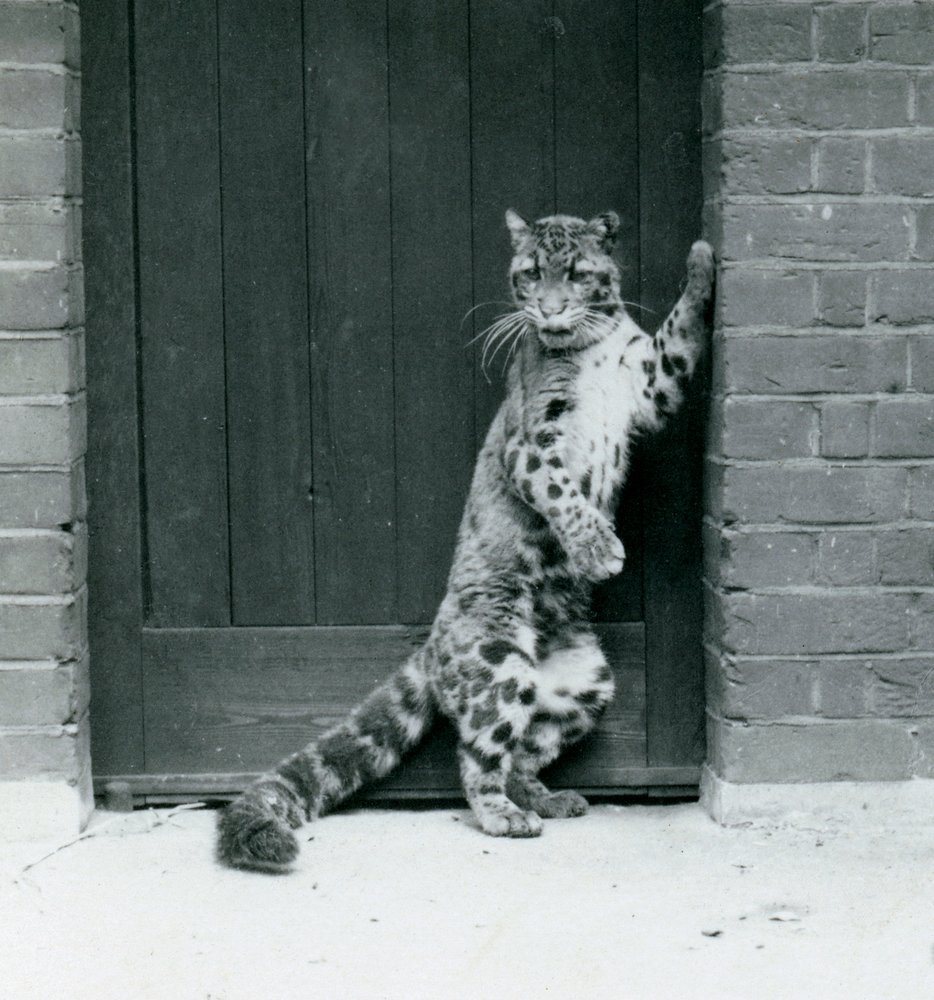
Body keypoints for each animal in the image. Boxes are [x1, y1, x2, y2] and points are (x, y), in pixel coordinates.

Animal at [217, 209, 715, 871]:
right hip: (498, 666)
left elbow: (679, 331)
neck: (591, 346)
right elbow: (562, 492)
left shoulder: (651, 383)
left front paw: (703, 260)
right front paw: (598, 549)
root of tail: (432, 646)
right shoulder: (531, 443)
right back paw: (506, 817)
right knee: (476, 757)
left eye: (576, 273)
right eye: (530, 273)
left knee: (525, 748)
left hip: (583, 685)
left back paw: (547, 798)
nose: (550, 311)